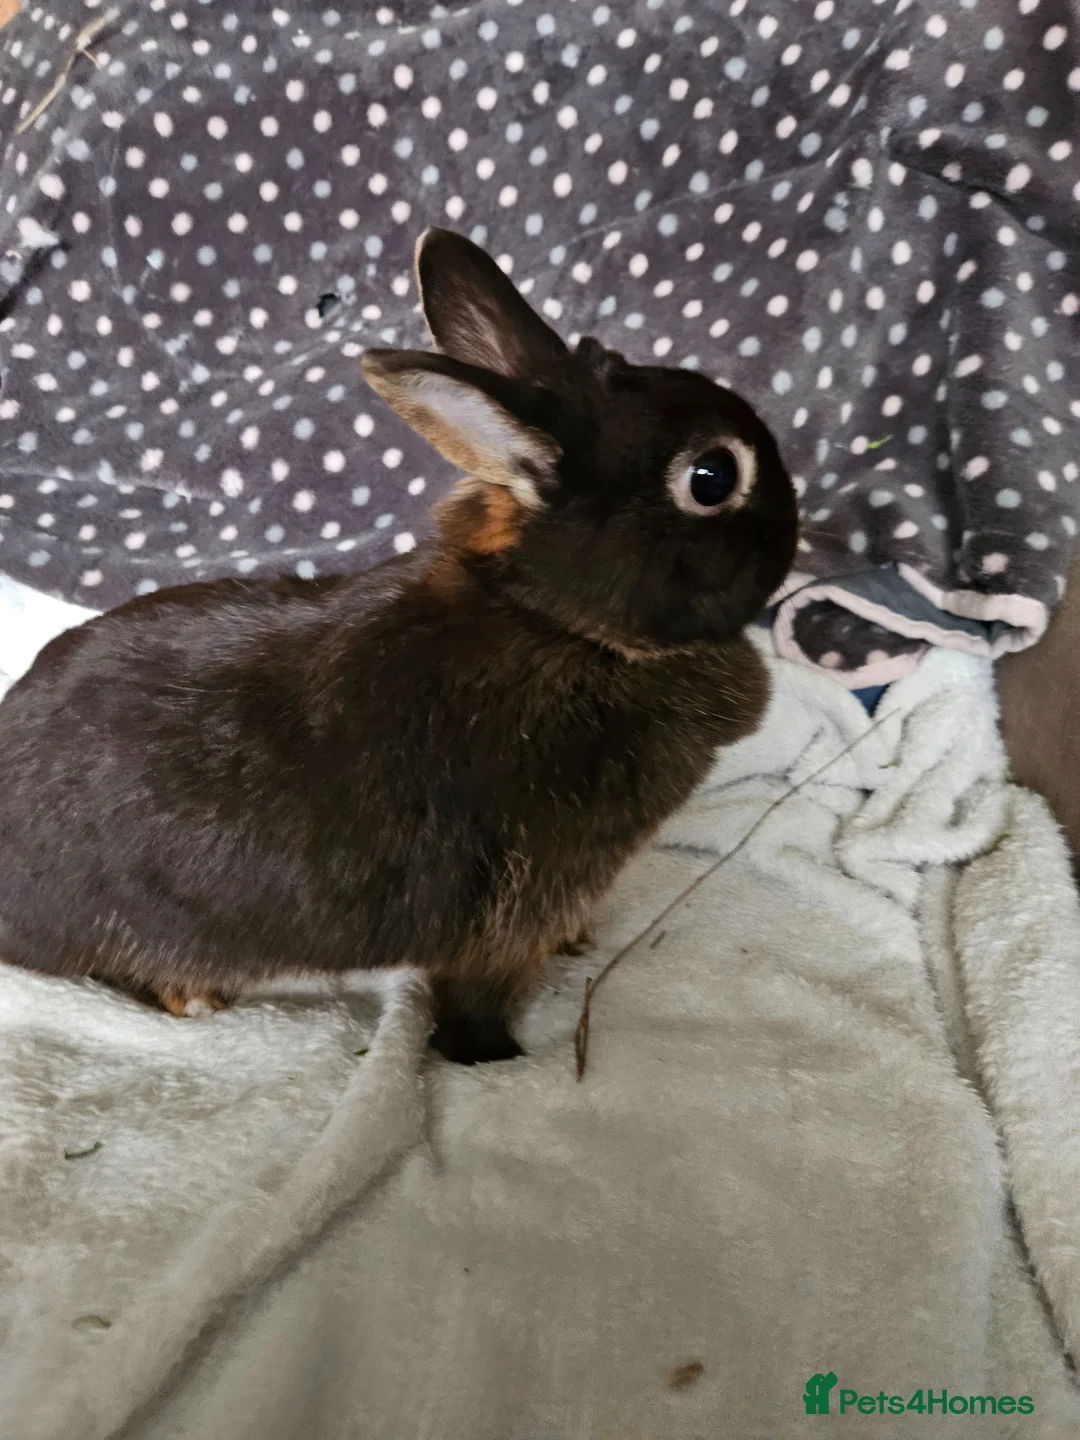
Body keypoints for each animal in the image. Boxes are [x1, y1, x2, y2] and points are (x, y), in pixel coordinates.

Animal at [0, 228, 798, 1065]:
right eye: (712, 476)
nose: (794, 525)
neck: (564, 627)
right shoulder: (519, 901)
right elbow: (478, 1000)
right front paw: (494, 1060)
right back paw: (194, 996)